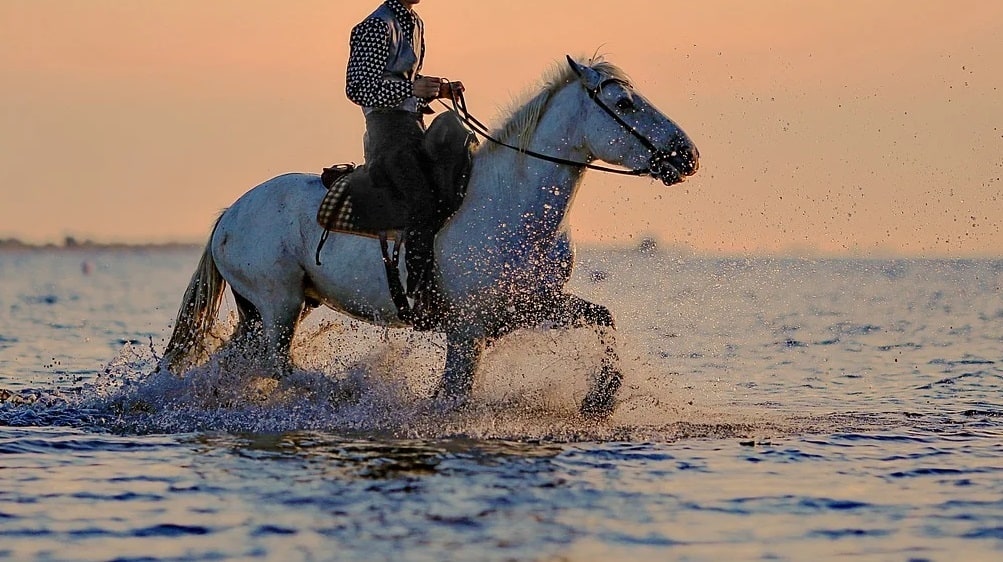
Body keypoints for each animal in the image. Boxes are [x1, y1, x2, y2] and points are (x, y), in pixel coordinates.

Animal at [159, 56, 700, 418]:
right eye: (624, 101)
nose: (686, 154)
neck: (512, 205)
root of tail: (229, 214)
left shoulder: (527, 307)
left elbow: (602, 317)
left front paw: (600, 398)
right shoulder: (467, 330)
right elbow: (455, 395)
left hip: (267, 310)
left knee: (237, 364)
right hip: (279, 304)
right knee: (279, 367)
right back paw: (343, 390)